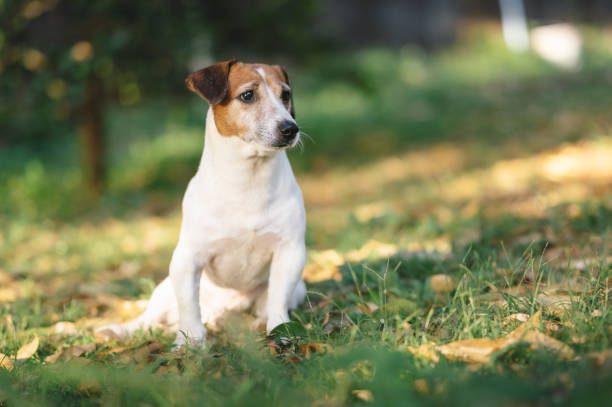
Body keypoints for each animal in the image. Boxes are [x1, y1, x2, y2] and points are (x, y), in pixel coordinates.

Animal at [99, 59, 306, 348]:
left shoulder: (290, 252)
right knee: (150, 318)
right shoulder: (187, 259)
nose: (290, 128)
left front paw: (280, 330)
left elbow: (278, 300)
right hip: (164, 289)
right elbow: (188, 306)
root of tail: (223, 310)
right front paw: (191, 342)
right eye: (248, 95)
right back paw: (120, 330)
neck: (248, 180)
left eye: (285, 95)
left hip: (299, 288)